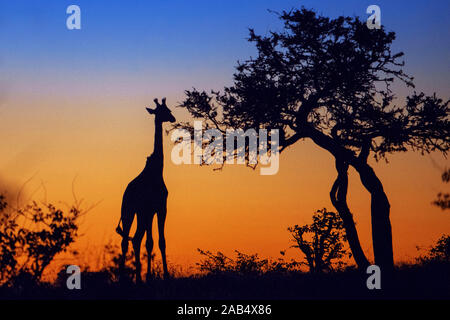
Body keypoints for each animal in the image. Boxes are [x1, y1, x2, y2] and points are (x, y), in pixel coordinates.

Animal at [116, 97, 176, 282]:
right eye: (165, 111)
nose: (173, 118)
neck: (157, 170)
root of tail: (126, 193)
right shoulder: (157, 208)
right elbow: (155, 242)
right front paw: (163, 275)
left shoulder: (155, 209)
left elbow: (153, 242)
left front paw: (151, 275)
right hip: (129, 211)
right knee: (130, 240)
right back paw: (127, 277)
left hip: (136, 213)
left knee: (134, 239)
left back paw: (135, 278)